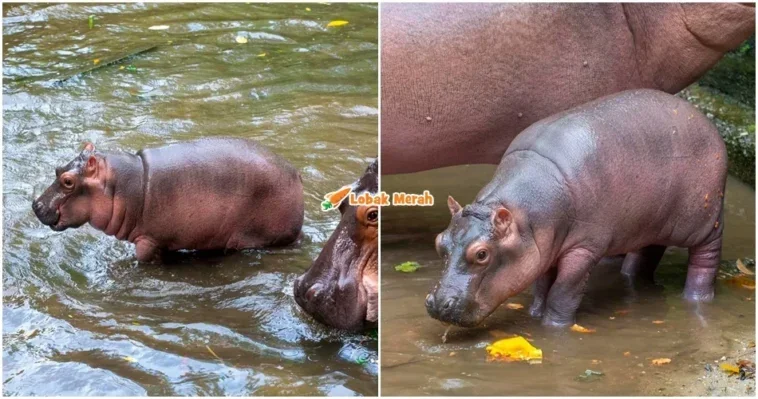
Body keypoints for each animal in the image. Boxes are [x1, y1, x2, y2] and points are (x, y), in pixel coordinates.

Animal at [428, 90, 732, 328]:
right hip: (651, 221)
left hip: (704, 220)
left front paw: (553, 326)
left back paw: (696, 298)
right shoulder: (545, 247)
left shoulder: (584, 248)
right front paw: (534, 313)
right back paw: (632, 280)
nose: (438, 303)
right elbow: (542, 284)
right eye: (439, 242)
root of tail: (705, 121)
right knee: (648, 252)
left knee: (706, 256)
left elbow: (563, 290)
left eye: (481, 254)